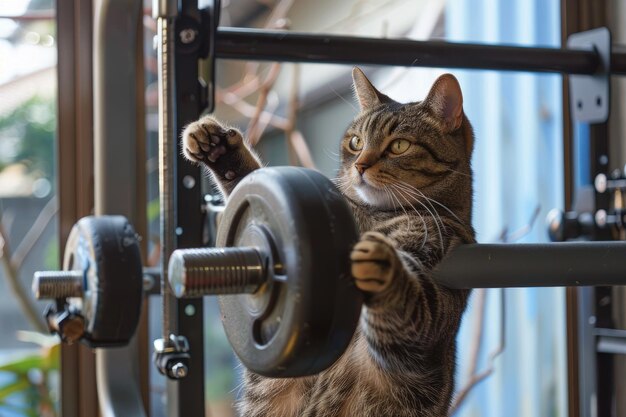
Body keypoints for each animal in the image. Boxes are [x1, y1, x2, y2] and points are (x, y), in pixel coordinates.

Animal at [180, 68, 472, 416]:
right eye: (356, 142)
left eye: (399, 145)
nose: (360, 165)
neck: (374, 215)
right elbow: (247, 178)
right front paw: (220, 149)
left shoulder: (431, 314)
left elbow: (412, 306)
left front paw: (383, 266)